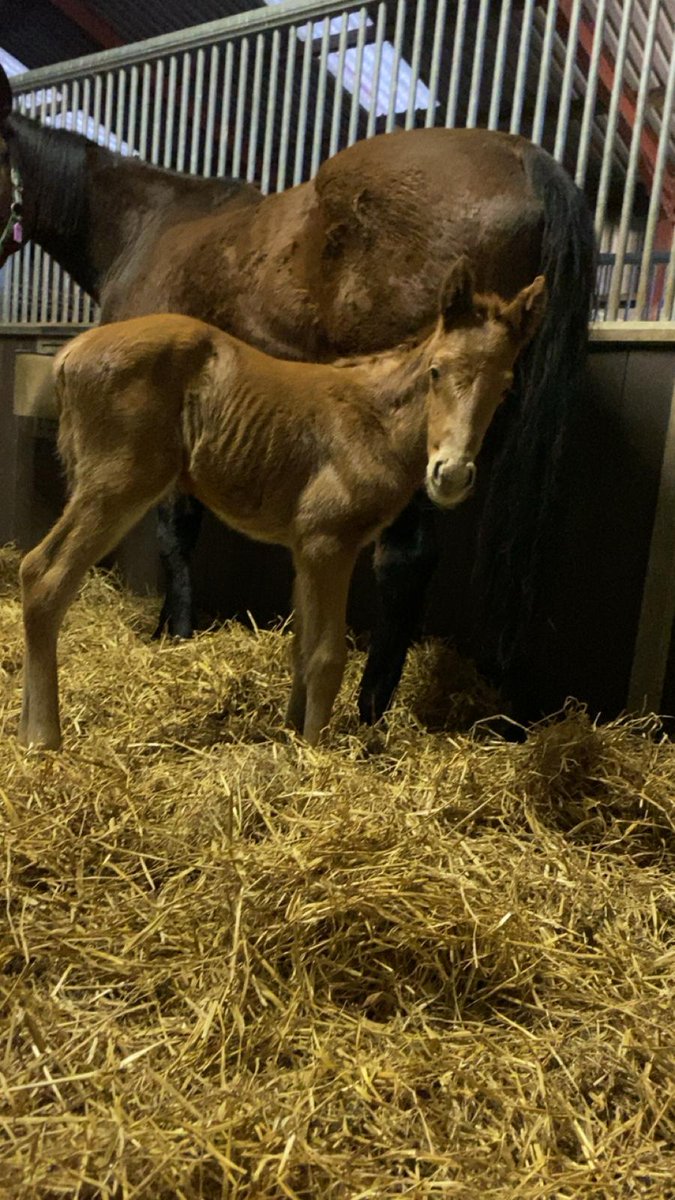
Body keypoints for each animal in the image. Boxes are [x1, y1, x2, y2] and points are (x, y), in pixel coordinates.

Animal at [19, 262, 540, 748]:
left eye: (505, 386)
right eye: (436, 370)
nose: (450, 475)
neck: (374, 421)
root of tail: (70, 353)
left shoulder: (304, 547)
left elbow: (302, 649)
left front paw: (292, 733)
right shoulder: (330, 543)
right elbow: (328, 655)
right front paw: (315, 753)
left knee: (29, 569)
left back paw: (25, 730)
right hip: (116, 487)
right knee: (47, 577)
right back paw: (45, 737)